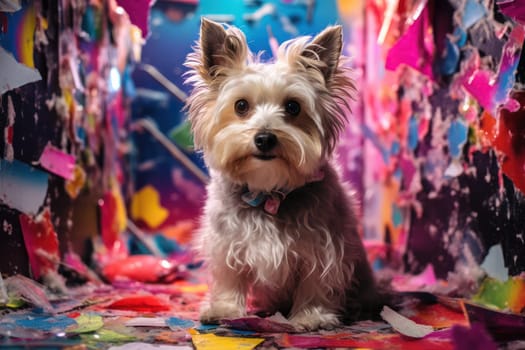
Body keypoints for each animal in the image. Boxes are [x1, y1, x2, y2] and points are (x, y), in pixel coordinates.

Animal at [184, 19, 380, 330]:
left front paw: (312, 316)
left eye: (293, 106)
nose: (265, 138)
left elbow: (316, 282)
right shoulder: (225, 243)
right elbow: (230, 277)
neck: (268, 192)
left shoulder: (323, 248)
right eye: (241, 106)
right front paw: (225, 308)